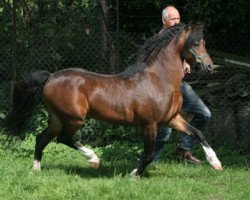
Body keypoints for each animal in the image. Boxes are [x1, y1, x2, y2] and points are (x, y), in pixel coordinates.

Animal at [0, 23, 222, 177]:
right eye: (195, 43)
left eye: (203, 42)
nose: (210, 67)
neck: (159, 79)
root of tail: (51, 76)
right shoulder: (149, 124)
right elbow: (149, 153)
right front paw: (134, 174)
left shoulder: (172, 119)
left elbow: (198, 133)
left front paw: (215, 163)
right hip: (74, 119)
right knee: (63, 139)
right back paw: (93, 160)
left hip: (57, 118)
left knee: (42, 138)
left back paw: (37, 169)